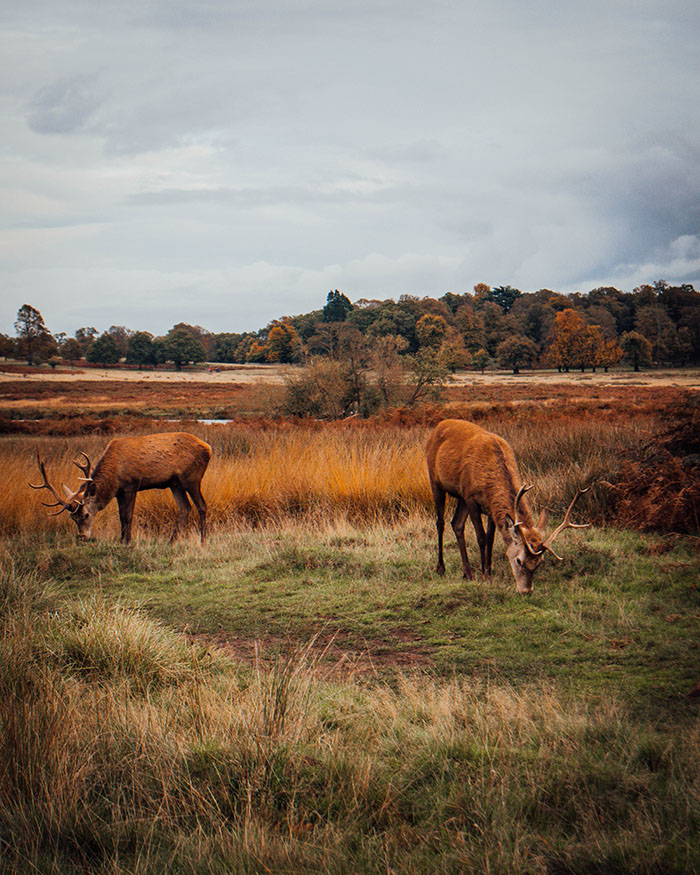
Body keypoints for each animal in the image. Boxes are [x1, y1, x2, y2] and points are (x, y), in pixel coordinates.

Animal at [30, 432, 211, 544]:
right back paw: (171, 542)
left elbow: (127, 515)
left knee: (202, 505)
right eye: (72, 518)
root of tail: (208, 448)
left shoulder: (132, 484)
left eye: (86, 514)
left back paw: (203, 542)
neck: (114, 475)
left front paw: (128, 541)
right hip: (175, 483)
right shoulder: (119, 492)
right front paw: (121, 539)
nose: (82, 537)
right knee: (185, 508)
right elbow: (120, 516)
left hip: (191, 477)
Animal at [424, 420, 588, 596]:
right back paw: (441, 569)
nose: (526, 590)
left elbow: (490, 538)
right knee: (441, 523)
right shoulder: (471, 497)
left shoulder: (489, 506)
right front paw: (484, 576)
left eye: (539, 563)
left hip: (460, 497)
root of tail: (437, 427)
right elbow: (481, 537)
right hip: (436, 482)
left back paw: (467, 573)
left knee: (457, 524)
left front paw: (488, 573)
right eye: (519, 560)